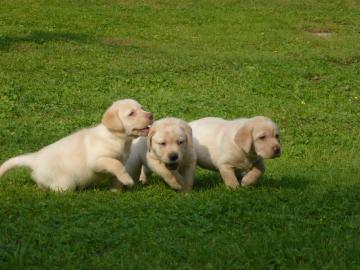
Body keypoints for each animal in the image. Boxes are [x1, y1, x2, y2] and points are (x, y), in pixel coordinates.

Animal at [0, 99, 153, 192]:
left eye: (142, 108)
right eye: (131, 113)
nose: (150, 115)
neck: (116, 138)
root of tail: (34, 158)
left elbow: (116, 174)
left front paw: (116, 190)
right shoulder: (97, 161)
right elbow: (116, 165)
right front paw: (128, 180)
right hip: (65, 183)